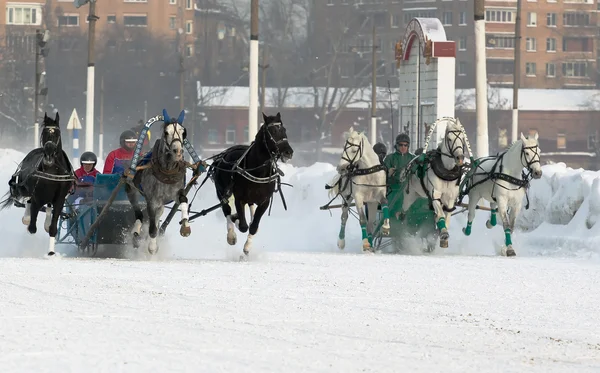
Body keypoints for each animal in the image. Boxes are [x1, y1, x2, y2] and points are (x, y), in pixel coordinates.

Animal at [0, 112, 75, 254]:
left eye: (57, 133)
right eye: (44, 132)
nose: (49, 153)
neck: (51, 169)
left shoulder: (60, 199)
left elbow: (52, 227)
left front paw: (51, 252)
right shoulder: (37, 196)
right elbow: (32, 227)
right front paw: (28, 222)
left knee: (48, 207)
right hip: (24, 187)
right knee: (27, 201)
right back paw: (27, 217)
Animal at [211, 111, 292, 258]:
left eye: (284, 130)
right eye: (272, 131)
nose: (288, 152)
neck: (258, 171)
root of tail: (223, 155)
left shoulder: (264, 201)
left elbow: (254, 226)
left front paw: (247, 247)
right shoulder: (239, 198)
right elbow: (243, 226)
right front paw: (237, 223)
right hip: (222, 192)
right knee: (226, 210)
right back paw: (231, 232)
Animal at [398, 117, 468, 248]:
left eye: (462, 138)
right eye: (449, 138)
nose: (460, 158)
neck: (447, 172)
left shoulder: (450, 198)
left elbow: (447, 216)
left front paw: (442, 236)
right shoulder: (435, 194)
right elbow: (440, 214)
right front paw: (444, 233)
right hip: (411, 194)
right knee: (404, 209)